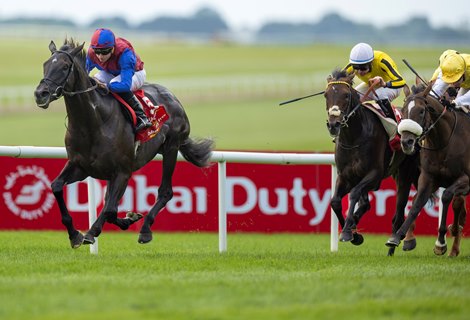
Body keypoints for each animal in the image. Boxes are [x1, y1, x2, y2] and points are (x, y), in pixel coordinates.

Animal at [34, 38, 214, 248]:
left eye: (64, 66)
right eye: (45, 64)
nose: (40, 93)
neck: (92, 123)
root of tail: (173, 97)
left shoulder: (123, 171)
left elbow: (110, 209)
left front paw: (93, 231)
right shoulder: (81, 166)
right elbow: (57, 187)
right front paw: (75, 234)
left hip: (171, 148)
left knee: (166, 192)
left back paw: (145, 230)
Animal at [388, 83, 468, 258]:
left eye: (421, 111)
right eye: (404, 111)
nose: (406, 142)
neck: (445, 142)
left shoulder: (466, 179)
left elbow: (446, 196)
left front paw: (441, 242)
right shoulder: (428, 177)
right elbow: (416, 204)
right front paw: (398, 237)